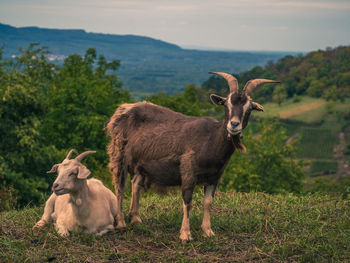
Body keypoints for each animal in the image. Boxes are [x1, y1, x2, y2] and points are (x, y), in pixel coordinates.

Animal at [105, 72, 278, 243]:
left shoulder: (214, 177)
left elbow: (208, 203)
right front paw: (185, 234)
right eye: (226, 104)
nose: (234, 125)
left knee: (136, 183)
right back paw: (121, 222)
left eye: (249, 108)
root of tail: (124, 109)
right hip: (118, 153)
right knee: (119, 186)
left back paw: (136, 219)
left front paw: (208, 231)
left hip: (141, 164)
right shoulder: (188, 171)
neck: (210, 139)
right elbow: (188, 201)